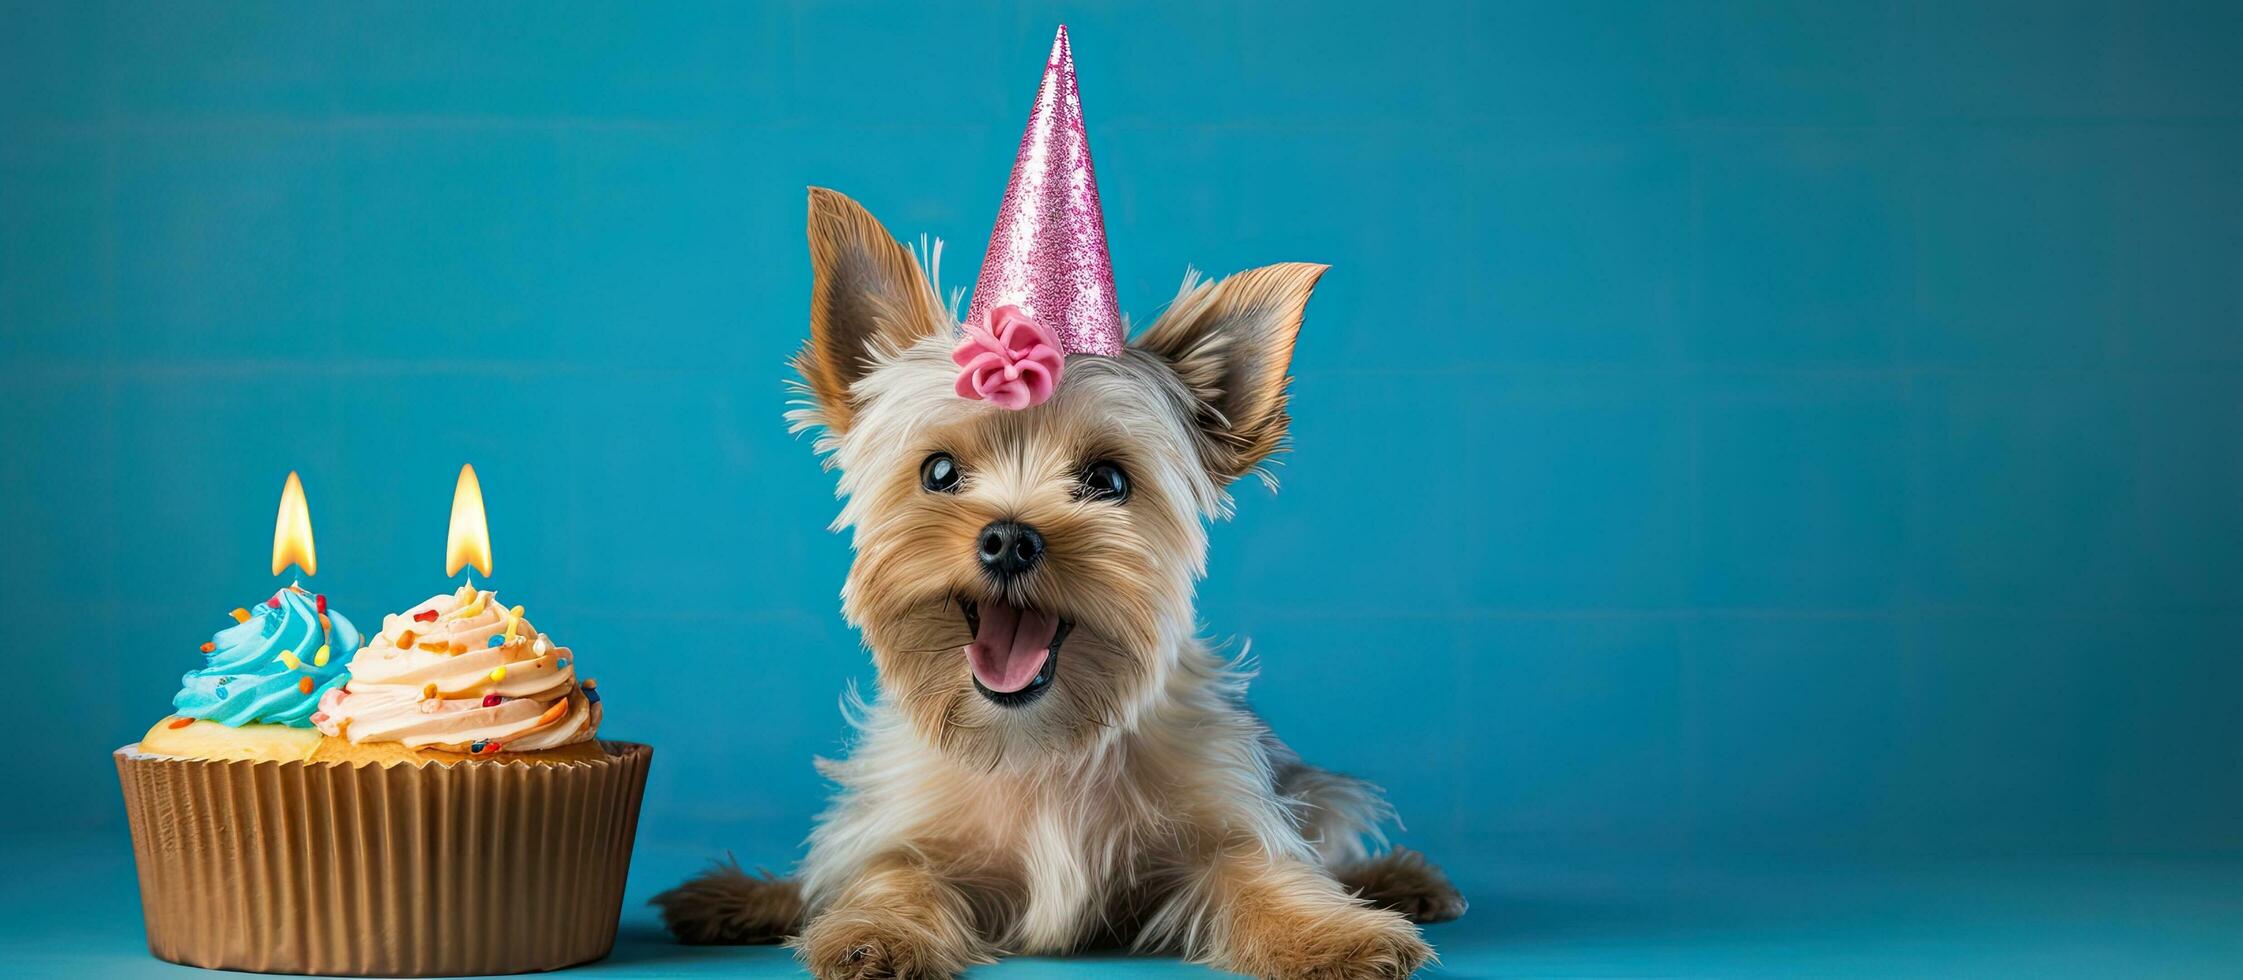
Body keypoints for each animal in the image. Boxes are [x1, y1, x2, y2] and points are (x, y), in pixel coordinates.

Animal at [654, 187, 1462, 973]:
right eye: (938, 472)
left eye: (1108, 480)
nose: (1010, 538)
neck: (1036, 746)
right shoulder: (902, 823)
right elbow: (890, 871)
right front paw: (872, 933)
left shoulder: (1223, 814)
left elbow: (1261, 871)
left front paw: (1332, 938)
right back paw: (737, 899)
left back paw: (1399, 880)